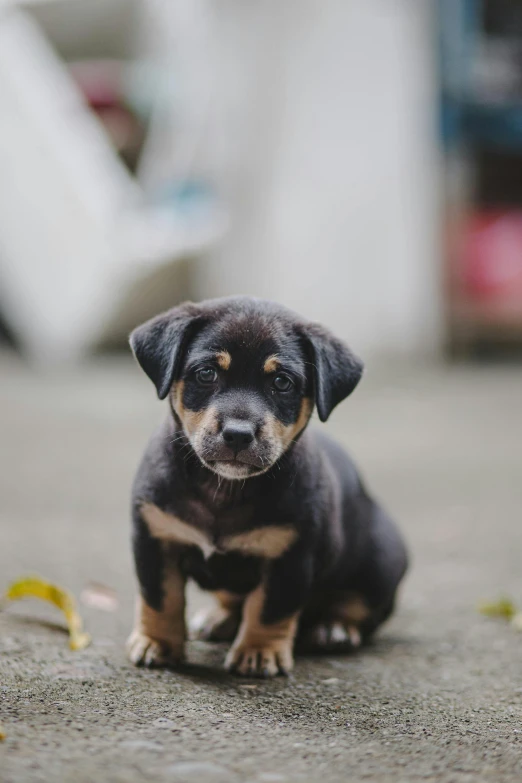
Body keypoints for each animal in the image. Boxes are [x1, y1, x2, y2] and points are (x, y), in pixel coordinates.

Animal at [125, 298, 406, 676]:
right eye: (206, 374)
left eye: (282, 382)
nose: (238, 435)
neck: (224, 489)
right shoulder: (155, 537)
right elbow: (160, 597)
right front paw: (157, 642)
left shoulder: (292, 554)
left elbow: (270, 609)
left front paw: (259, 653)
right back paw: (218, 619)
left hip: (381, 561)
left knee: (359, 605)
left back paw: (334, 628)